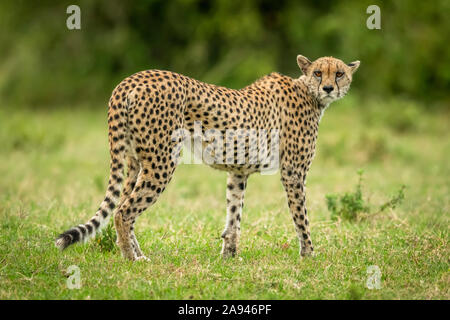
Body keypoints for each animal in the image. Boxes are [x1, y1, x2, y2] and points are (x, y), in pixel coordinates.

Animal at [55, 54, 358, 260]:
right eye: (318, 73)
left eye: (339, 73)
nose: (329, 88)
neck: (309, 94)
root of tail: (132, 79)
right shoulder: (294, 173)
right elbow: (301, 216)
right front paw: (309, 254)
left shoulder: (238, 172)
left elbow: (234, 214)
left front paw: (229, 256)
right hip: (162, 161)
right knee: (123, 211)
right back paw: (132, 259)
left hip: (134, 162)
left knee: (122, 206)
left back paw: (134, 253)